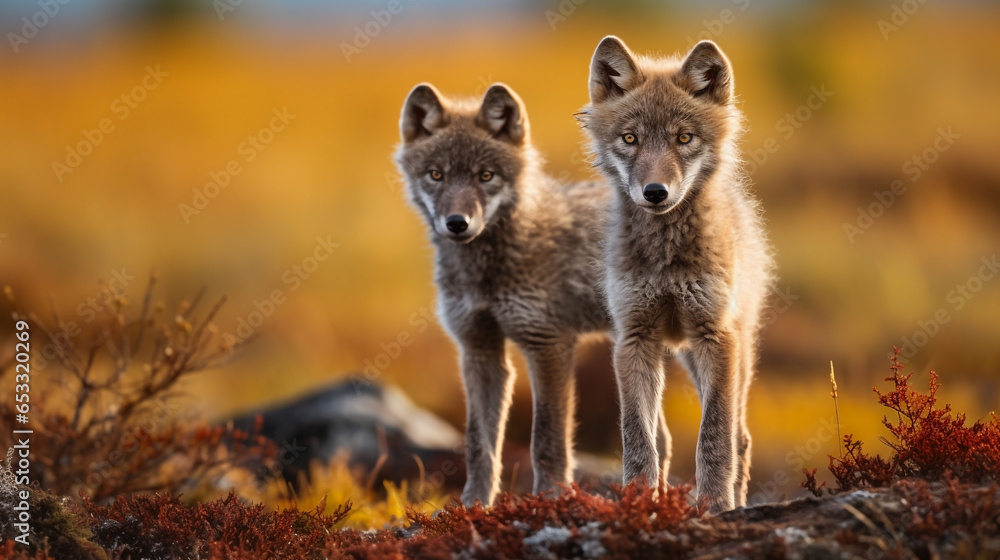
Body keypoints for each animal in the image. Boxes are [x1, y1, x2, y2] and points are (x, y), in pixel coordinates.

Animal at [396, 82, 645, 506]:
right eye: (436, 175)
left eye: (485, 176)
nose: (457, 223)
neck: (486, 276)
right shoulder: (479, 351)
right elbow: (478, 444)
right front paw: (473, 506)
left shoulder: (548, 345)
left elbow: (546, 441)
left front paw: (550, 501)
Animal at [581, 37, 775, 513]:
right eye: (630, 139)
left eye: (683, 138)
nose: (655, 192)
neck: (666, 260)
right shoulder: (634, 339)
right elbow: (637, 438)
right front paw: (638, 502)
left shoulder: (714, 337)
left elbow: (714, 435)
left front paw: (715, 506)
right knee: (666, 439)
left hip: (734, 353)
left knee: (740, 435)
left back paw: (737, 501)